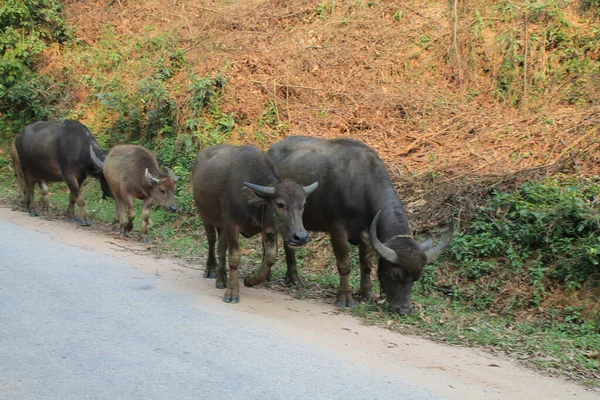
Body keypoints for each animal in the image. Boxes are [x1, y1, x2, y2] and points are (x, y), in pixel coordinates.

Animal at [192, 145, 318, 304]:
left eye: (303, 205)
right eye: (280, 204)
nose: (301, 237)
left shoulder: (269, 229)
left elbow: (270, 257)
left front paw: (251, 279)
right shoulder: (231, 225)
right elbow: (234, 258)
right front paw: (232, 292)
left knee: (221, 247)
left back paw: (221, 279)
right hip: (205, 215)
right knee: (211, 240)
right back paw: (211, 270)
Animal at [270, 138, 452, 316]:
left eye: (417, 277)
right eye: (396, 273)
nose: (405, 310)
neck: (359, 186)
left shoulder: (366, 234)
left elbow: (366, 266)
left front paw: (367, 294)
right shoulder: (337, 229)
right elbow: (344, 264)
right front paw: (345, 297)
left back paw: (293, 277)